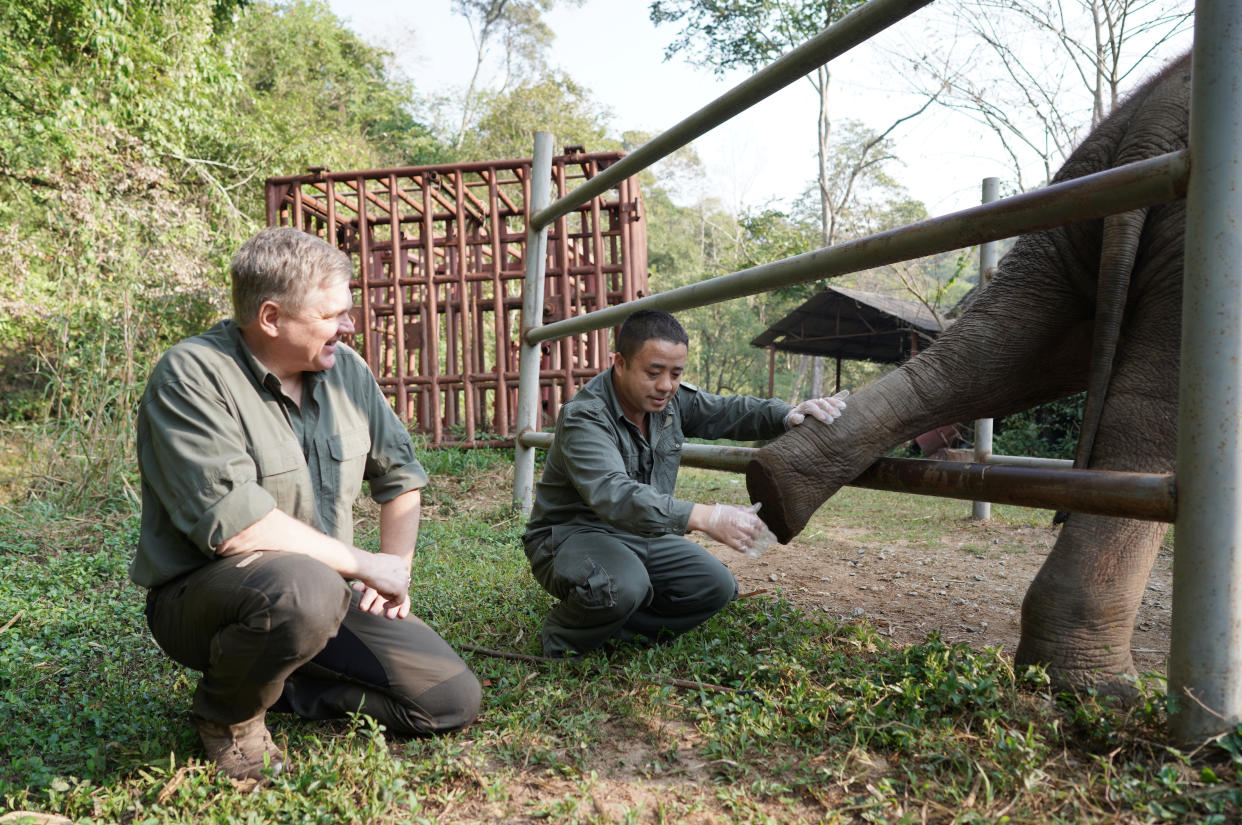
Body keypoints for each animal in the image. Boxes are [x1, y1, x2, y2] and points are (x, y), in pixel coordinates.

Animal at [745, 53, 1192, 695]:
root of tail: (1152, 127)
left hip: (1070, 211)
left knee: (1001, 353)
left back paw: (775, 486)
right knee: (1142, 415)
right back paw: (1102, 690)